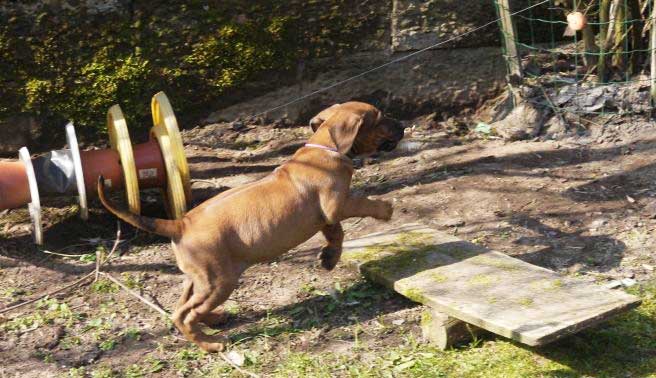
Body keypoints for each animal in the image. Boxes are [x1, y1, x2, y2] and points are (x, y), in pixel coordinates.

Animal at [97, 101, 404, 352]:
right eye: (381, 118)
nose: (402, 125)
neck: (325, 146)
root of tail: (180, 224)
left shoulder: (325, 215)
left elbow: (336, 233)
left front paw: (329, 258)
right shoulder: (335, 205)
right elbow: (361, 204)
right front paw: (384, 209)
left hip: (200, 277)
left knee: (182, 307)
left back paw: (213, 319)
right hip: (219, 280)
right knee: (185, 315)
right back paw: (210, 344)